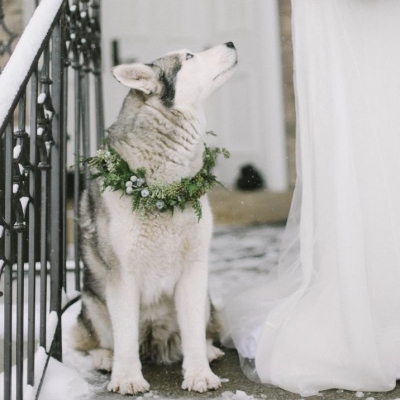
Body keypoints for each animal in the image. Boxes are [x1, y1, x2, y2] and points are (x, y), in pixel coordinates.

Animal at [72, 43, 238, 394]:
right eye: (189, 57)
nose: (231, 43)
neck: (164, 189)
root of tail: (154, 338)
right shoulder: (122, 277)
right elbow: (124, 337)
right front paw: (127, 378)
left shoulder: (193, 270)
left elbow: (192, 331)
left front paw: (199, 374)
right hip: (93, 302)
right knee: (93, 342)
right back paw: (106, 358)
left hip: (204, 299)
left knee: (198, 331)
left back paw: (209, 350)